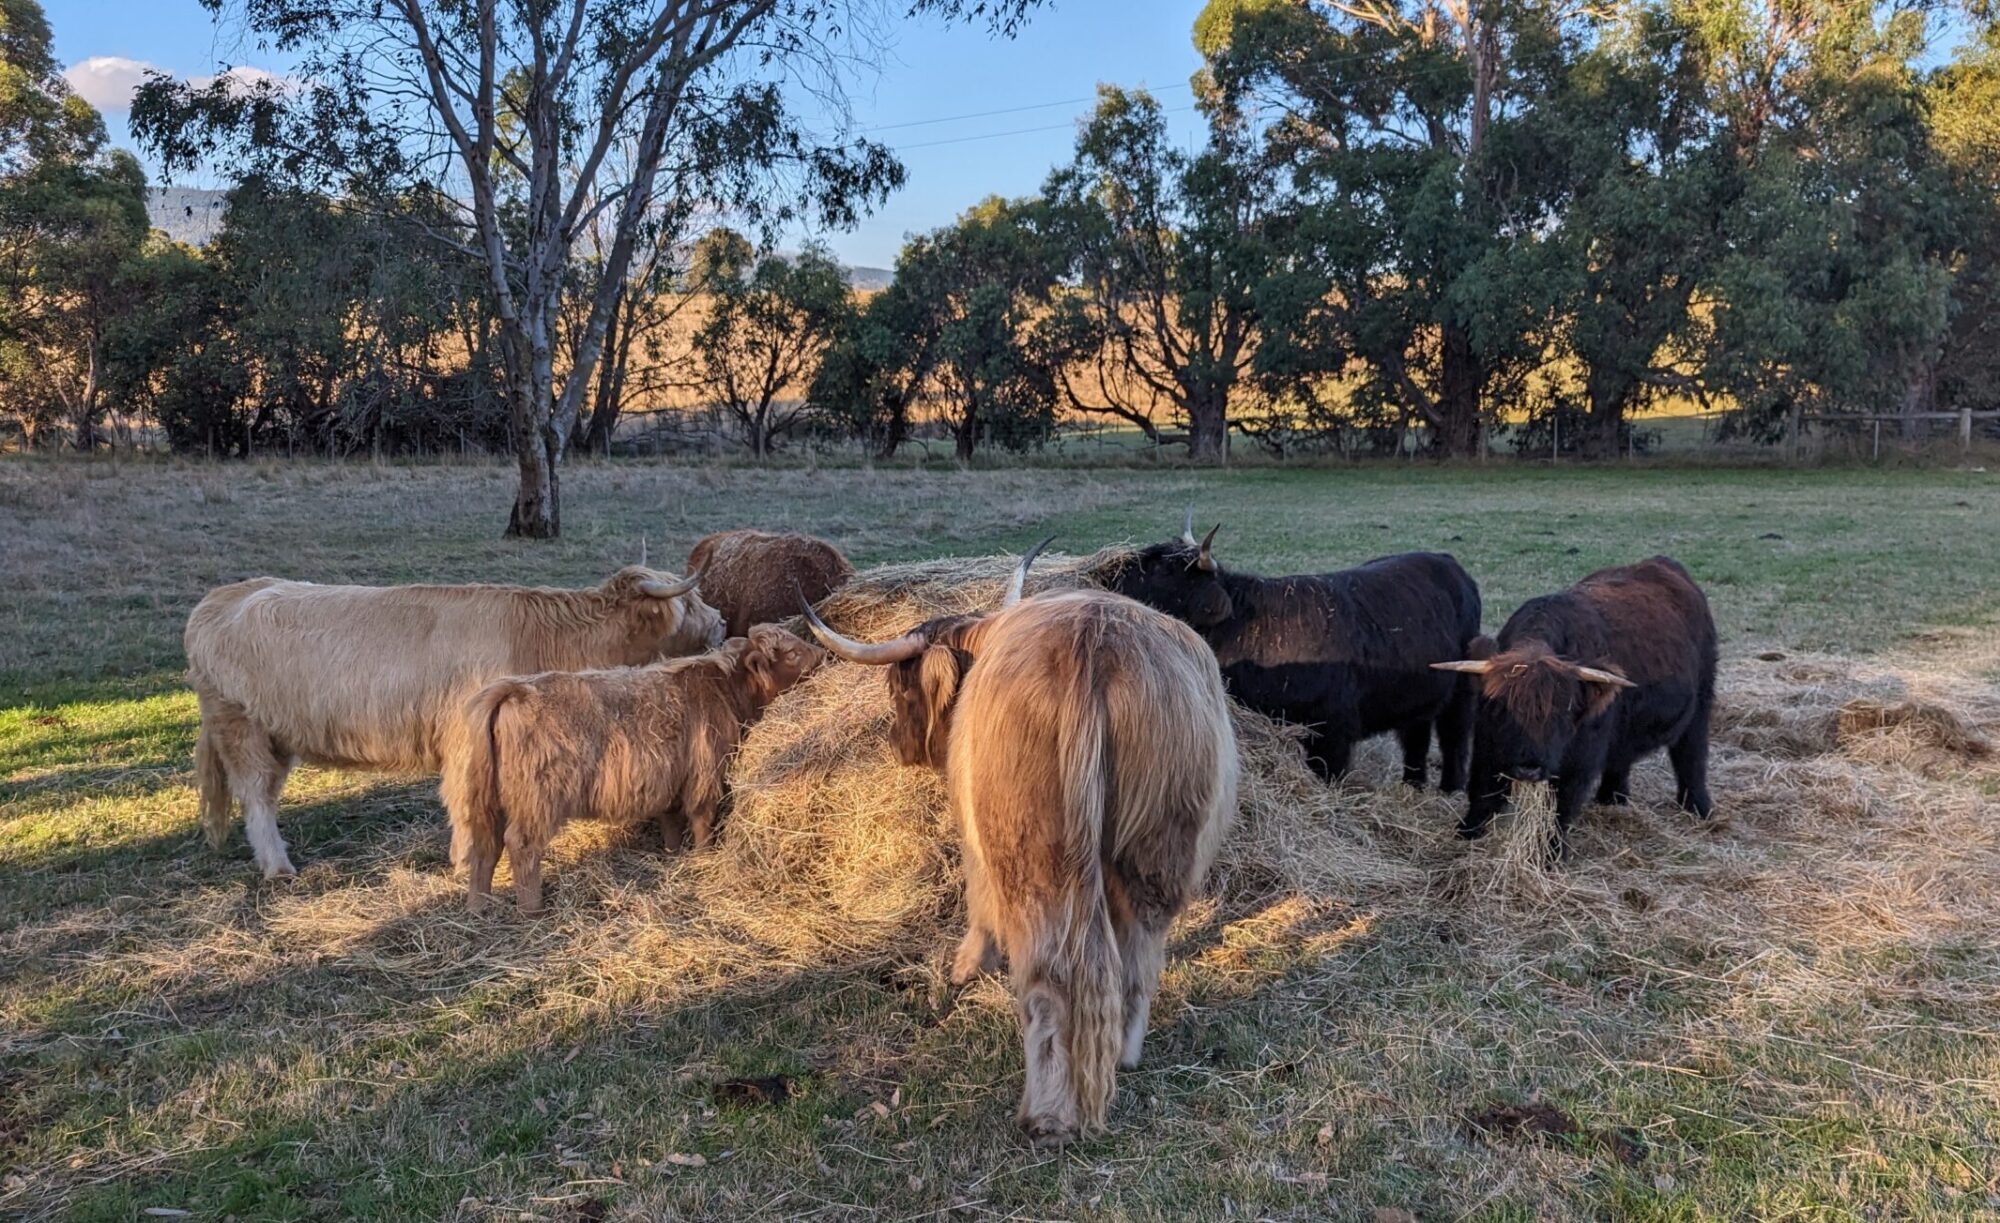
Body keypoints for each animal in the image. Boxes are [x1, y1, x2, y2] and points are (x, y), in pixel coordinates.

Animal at [184, 567, 724, 875]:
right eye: (691, 601)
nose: (721, 620)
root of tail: (222, 597)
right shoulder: (467, 742)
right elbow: (468, 803)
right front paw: (467, 861)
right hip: (240, 726)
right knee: (255, 794)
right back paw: (278, 867)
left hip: (274, 734)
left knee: (265, 793)